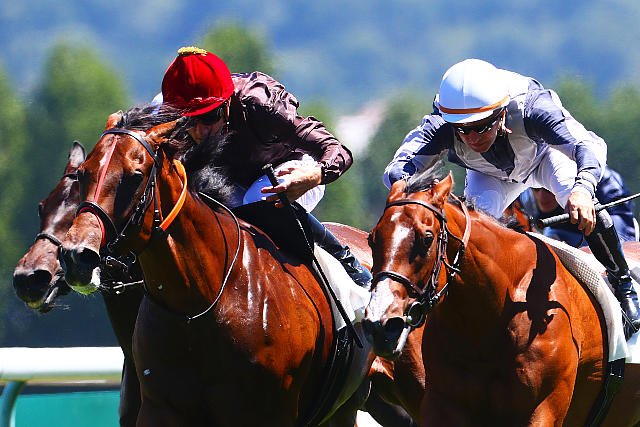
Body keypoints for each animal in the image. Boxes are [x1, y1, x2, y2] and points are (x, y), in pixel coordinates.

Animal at [55, 107, 424, 426]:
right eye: (84, 173)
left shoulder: (267, 414)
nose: (76, 255)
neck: (202, 303)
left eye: (135, 176)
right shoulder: (160, 408)